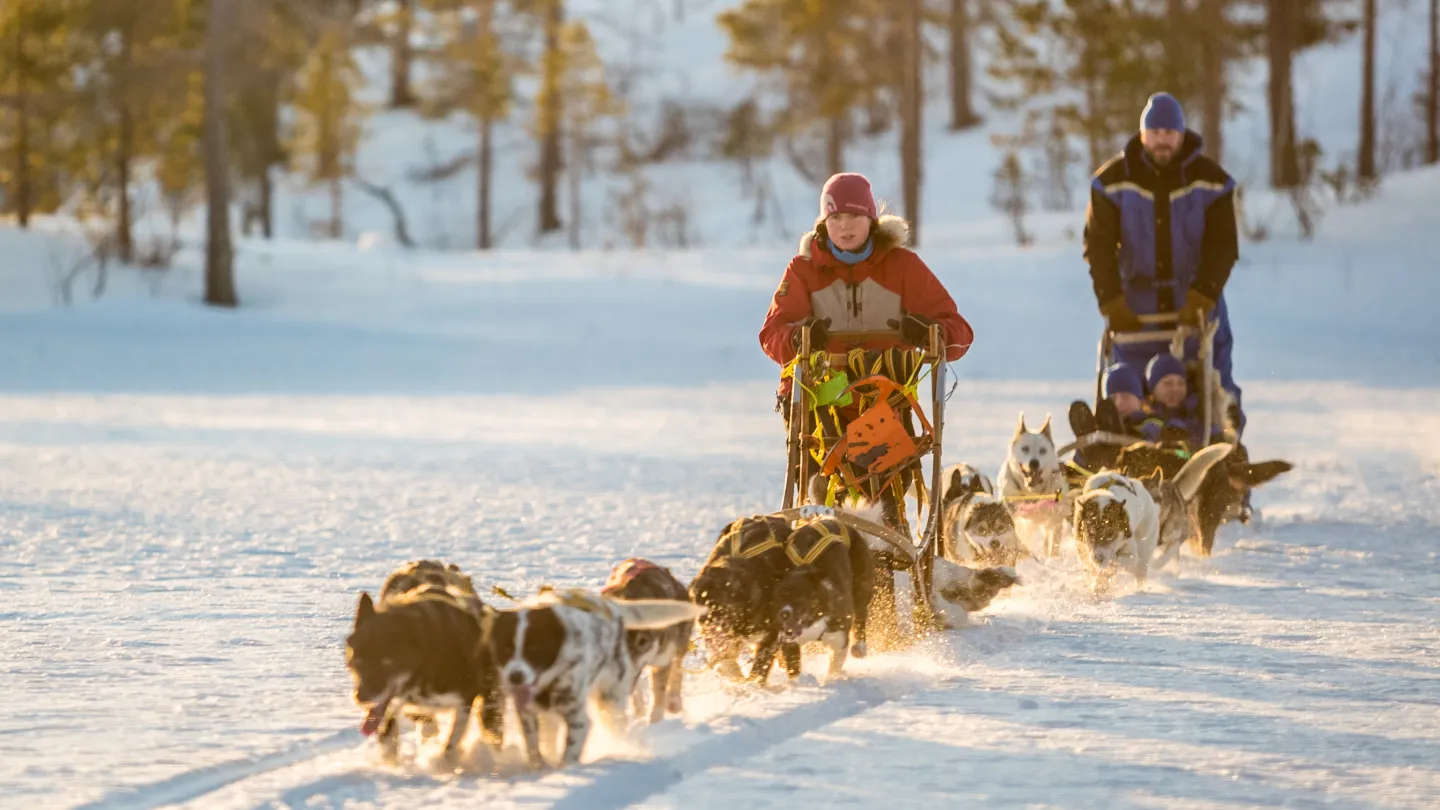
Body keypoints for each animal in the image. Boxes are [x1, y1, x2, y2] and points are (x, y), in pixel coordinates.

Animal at [489, 585, 702, 760]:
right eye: (506, 648)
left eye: (534, 648)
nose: (515, 677)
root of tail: (611, 606)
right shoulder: (528, 713)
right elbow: (535, 749)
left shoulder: (578, 719)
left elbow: (569, 755)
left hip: (609, 699)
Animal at [599, 559, 694, 720]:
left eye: (642, 642)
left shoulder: (662, 660)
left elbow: (659, 696)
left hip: (680, 642)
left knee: (677, 667)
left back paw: (674, 701)